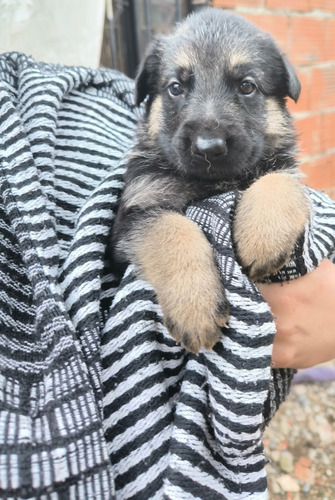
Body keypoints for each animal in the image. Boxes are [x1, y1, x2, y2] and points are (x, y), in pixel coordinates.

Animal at [111, 6, 312, 352]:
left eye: (247, 86)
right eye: (175, 87)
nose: (208, 148)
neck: (211, 182)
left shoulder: (286, 168)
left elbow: (278, 181)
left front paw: (263, 237)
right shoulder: (138, 213)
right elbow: (174, 230)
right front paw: (195, 306)